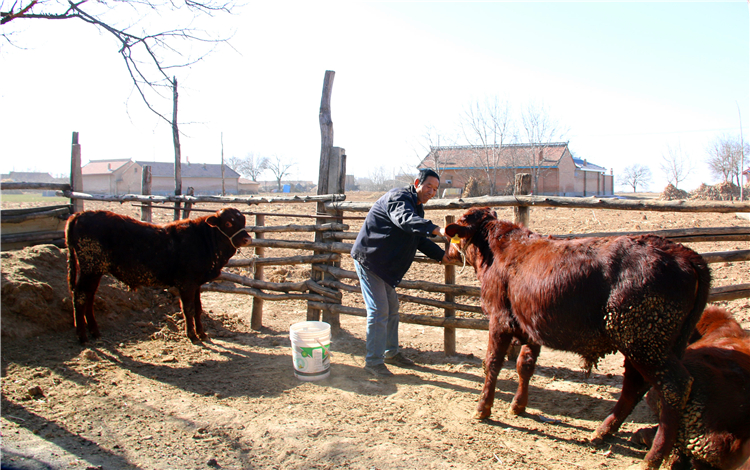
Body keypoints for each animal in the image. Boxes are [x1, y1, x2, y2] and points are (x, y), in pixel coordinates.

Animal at [66, 207, 253, 344]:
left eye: (243, 221)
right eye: (228, 223)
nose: (247, 239)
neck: (203, 239)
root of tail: (80, 214)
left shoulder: (197, 284)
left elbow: (198, 309)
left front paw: (202, 333)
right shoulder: (186, 284)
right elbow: (188, 309)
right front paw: (192, 335)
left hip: (95, 272)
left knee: (89, 297)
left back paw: (94, 331)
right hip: (89, 269)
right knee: (79, 297)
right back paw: (82, 335)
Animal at [444, 207, 712, 468]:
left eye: (457, 228)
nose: (446, 253)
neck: (500, 249)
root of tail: (683, 253)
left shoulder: (499, 321)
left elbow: (492, 364)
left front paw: (483, 408)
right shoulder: (530, 326)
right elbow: (525, 366)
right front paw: (518, 406)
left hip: (643, 342)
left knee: (673, 387)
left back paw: (653, 457)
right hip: (650, 345)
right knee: (635, 386)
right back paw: (603, 431)